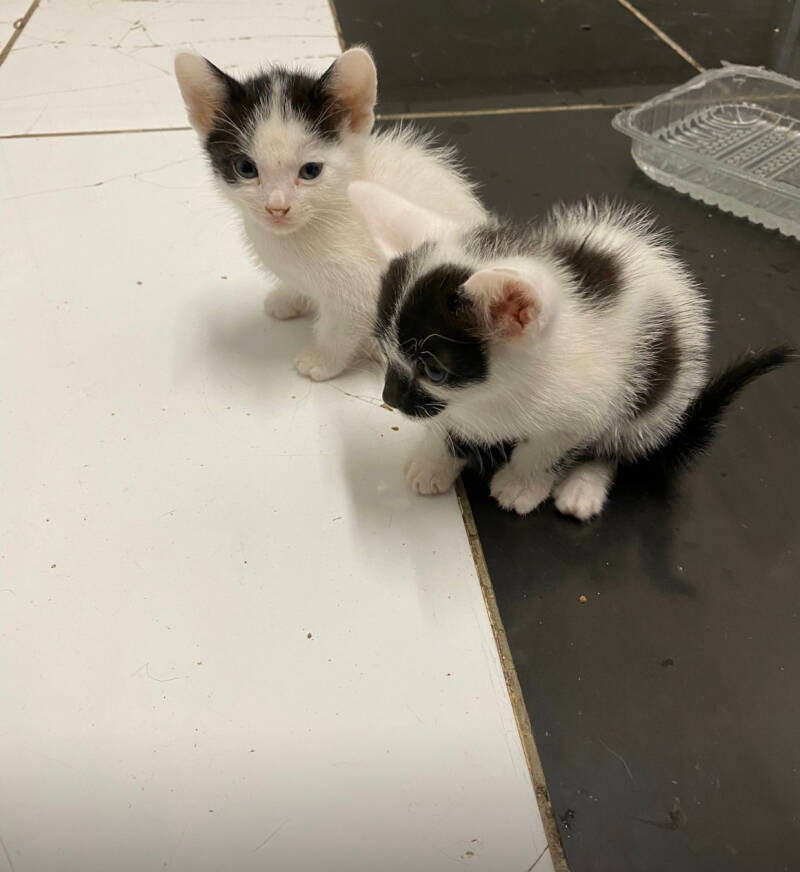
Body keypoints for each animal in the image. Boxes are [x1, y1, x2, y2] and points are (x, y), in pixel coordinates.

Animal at [174, 47, 485, 381]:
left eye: (311, 171)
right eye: (245, 168)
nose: (276, 207)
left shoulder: (363, 287)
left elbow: (341, 328)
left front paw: (321, 361)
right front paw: (288, 297)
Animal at [348, 180, 794, 520]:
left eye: (434, 371)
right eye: (385, 348)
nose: (389, 397)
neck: (494, 395)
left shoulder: (586, 409)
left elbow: (548, 447)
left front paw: (522, 484)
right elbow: (449, 427)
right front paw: (434, 460)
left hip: (655, 401)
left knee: (619, 447)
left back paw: (583, 487)